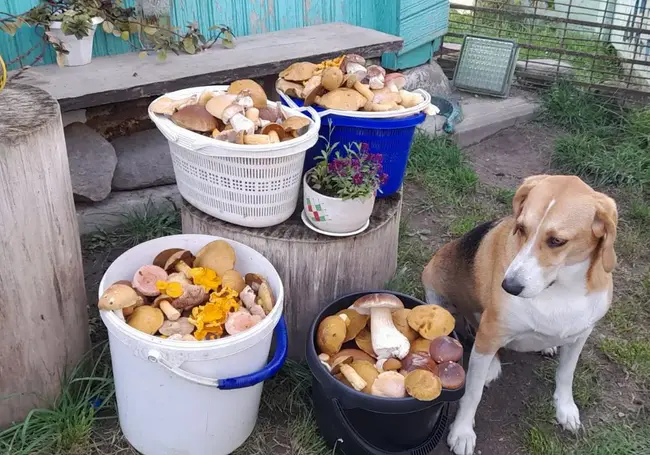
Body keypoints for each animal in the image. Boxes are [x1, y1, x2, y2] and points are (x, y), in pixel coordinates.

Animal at [420, 175, 616, 455]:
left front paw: (565, 409)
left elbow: (566, 375)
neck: (558, 288)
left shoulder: (581, 335)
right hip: (436, 283)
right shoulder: (491, 333)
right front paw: (462, 432)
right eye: (521, 228)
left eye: (557, 241)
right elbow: (472, 394)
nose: (509, 286)